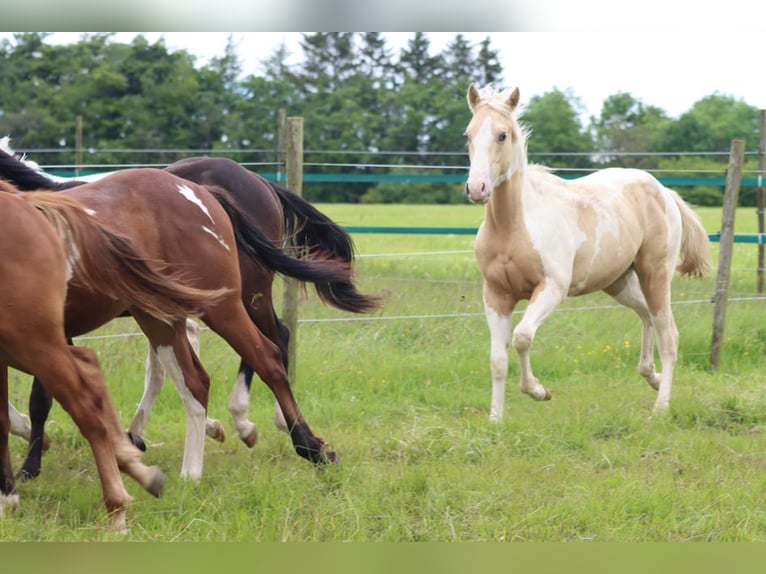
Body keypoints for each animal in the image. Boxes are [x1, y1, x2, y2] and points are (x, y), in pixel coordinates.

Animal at [464, 83, 716, 420]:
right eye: (468, 134)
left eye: (502, 135)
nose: (476, 188)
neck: (514, 225)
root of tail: (663, 191)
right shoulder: (495, 295)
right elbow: (497, 360)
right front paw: (495, 419)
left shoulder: (551, 288)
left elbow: (522, 337)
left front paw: (539, 391)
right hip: (618, 282)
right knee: (646, 314)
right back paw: (651, 375)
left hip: (656, 274)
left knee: (669, 335)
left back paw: (661, 406)